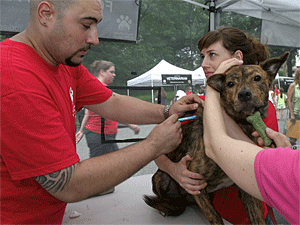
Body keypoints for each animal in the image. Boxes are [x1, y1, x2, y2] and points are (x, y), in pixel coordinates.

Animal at [144, 51, 290, 224]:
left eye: (257, 78)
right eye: (230, 84)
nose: (244, 94)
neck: (239, 127)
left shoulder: (246, 190)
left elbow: (257, 217)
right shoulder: (195, 182)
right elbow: (214, 217)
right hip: (161, 178)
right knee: (172, 202)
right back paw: (165, 208)